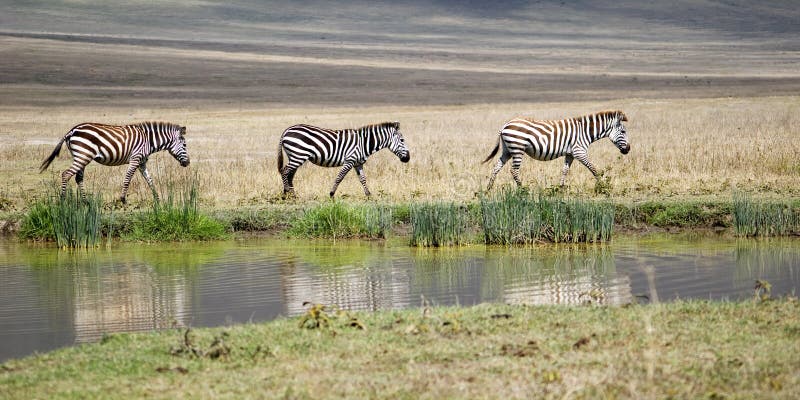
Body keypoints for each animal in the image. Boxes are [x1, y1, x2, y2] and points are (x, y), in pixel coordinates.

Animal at [39, 121, 191, 203]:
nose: (188, 163)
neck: (149, 141)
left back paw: (86, 201)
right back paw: (62, 199)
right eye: (184, 145)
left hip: (81, 157)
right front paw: (123, 199)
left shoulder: (142, 162)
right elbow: (128, 178)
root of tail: (71, 131)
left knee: (78, 177)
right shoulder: (135, 159)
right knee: (66, 174)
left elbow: (150, 180)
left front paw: (157, 199)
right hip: (83, 156)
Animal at [276, 121, 412, 198]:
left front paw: (369, 195)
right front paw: (331, 194)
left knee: (290, 174)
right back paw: (286, 193)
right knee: (285, 171)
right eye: (402, 140)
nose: (408, 158)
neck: (363, 143)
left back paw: (292, 195)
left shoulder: (358, 163)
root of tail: (286, 131)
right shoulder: (349, 161)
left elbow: (363, 179)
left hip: (295, 156)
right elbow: (339, 177)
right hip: (298, 155)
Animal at [482, 110, 632, 190]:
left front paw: (561, 188)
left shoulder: (570, 154)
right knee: (514, 170)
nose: (628, 149)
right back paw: (523, 189)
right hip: (518, 149)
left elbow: (565, 170)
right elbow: (593, 169)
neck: (585, 132)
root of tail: (505, 125)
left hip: (508, 150)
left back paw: (489, 189)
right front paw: (602, 186)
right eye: (623, 131)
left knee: (496, 167)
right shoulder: (579, 151)